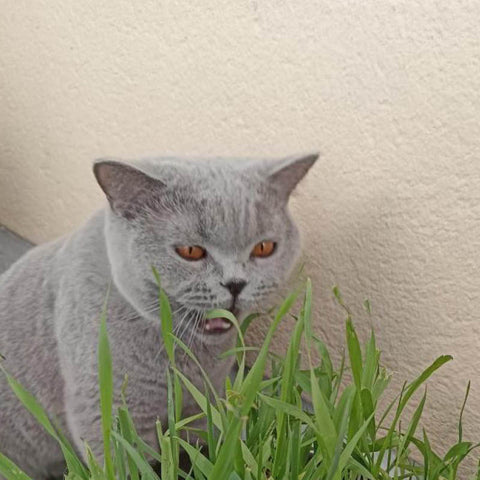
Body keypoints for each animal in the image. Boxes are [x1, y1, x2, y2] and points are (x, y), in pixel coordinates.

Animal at [0, 153, 318, 476]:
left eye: (264, 248)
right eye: (190, 251)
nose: (235, 284)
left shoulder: (205, 399)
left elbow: (201, 452)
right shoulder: (109, 414)